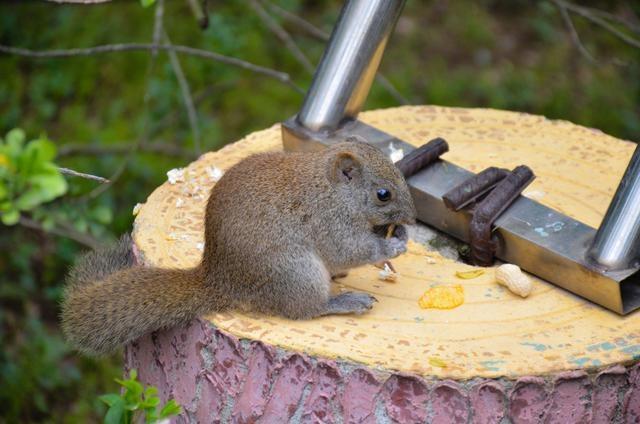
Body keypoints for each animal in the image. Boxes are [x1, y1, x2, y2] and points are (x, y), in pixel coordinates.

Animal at [62, 139, 418, 354]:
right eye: (383, 194)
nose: (412, 218)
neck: (331, 190)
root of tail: (221, 280)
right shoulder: (328, 222)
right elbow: (350, 250)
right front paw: (392, 247)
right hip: (297, 272)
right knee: (306, 310)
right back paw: (345, 301)